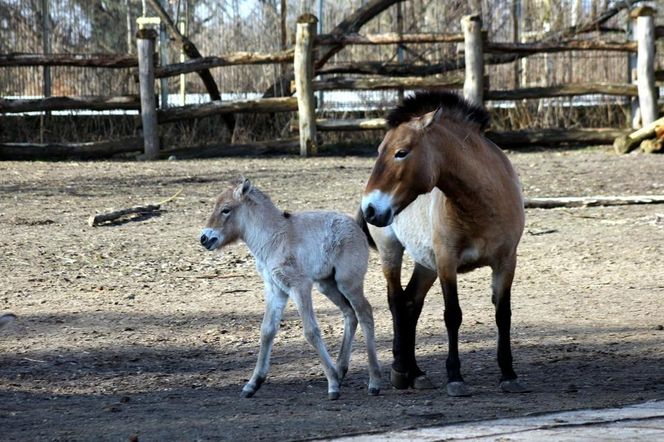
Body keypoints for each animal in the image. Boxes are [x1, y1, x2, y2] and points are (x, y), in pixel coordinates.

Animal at [360, 90, 528, 398]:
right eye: (379, 151)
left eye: (401, 152)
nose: (370, 208)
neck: (481, 204)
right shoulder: (447, 262)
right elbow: (453, 315)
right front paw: (455, 378)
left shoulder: (506, 262)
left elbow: (503, 314)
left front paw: (509, 374)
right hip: (392, 252)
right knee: (397, 302)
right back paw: (400, 371)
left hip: (426, 264)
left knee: (411, 303)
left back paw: (415, 373)